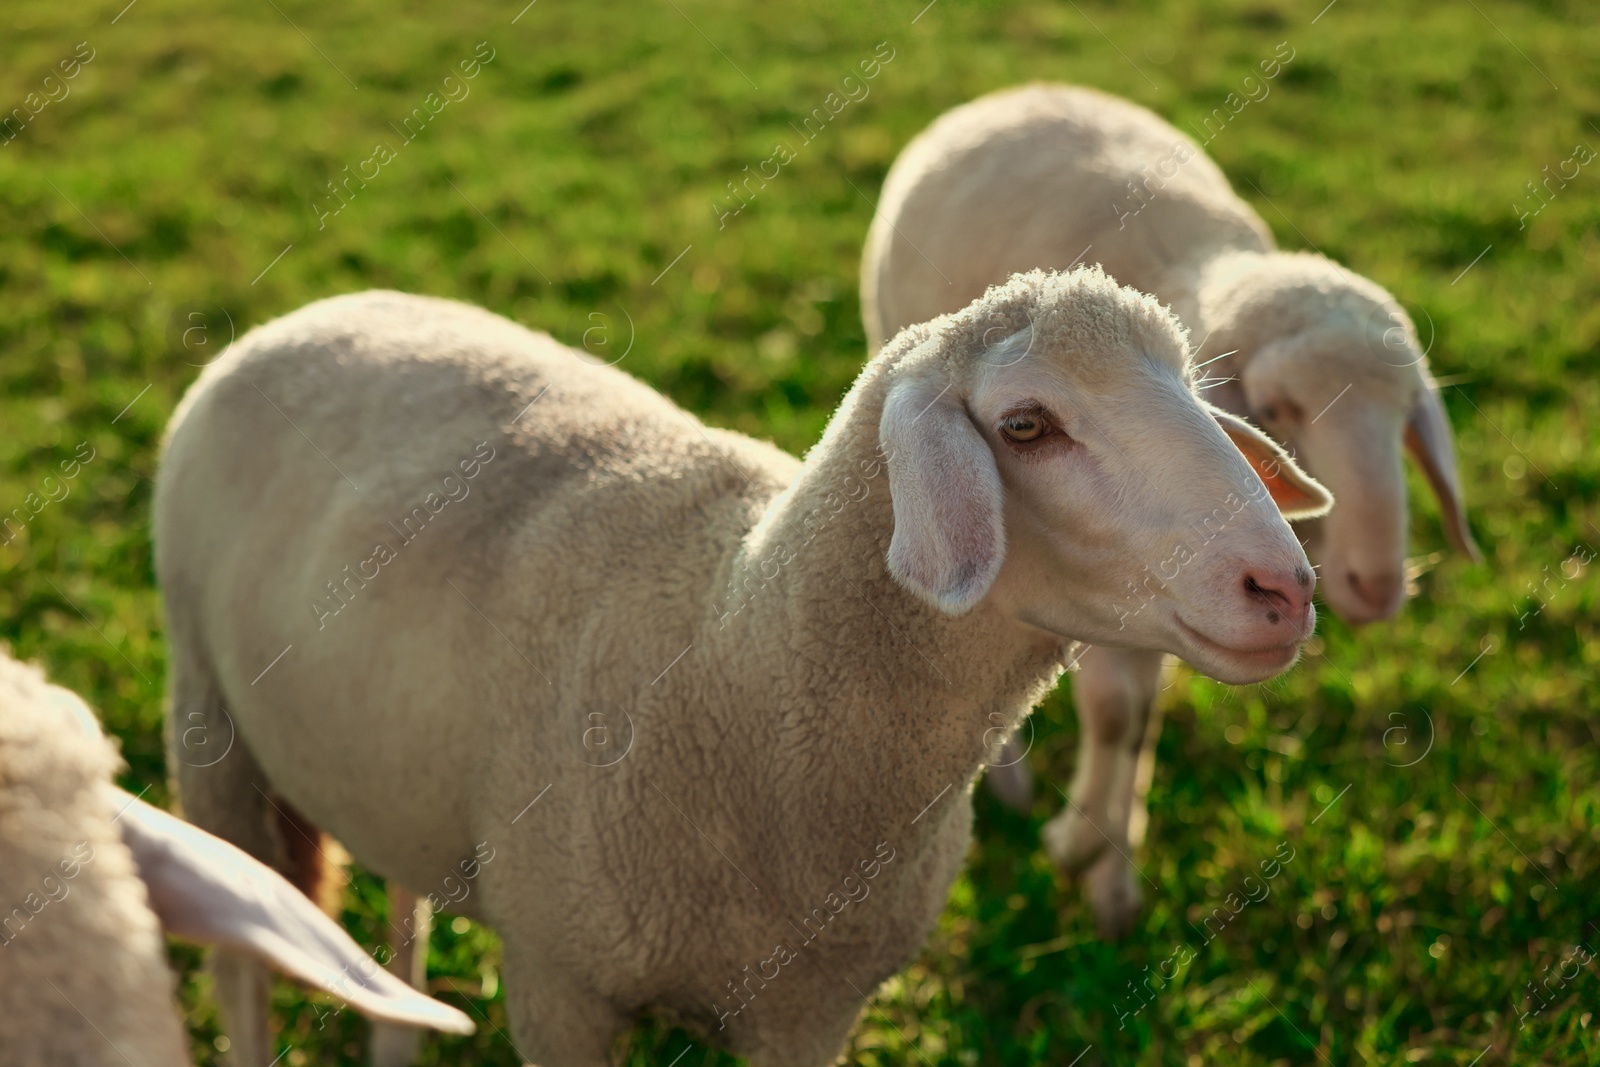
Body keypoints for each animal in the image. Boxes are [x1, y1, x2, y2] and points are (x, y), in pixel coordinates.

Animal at [150, 268, 1324, 1067]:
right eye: (1026, 424)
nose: (1285, 588)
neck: (738, 656)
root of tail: (318, 306)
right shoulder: (561, 985)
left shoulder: (812, 1010)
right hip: (207, 721)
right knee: (242, 963)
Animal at [857, 81, 1478, 934]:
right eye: (1277, 408)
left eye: (1407, 411)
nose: (1378, 586)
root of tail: (1020, 89)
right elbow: (1115, 710)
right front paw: (1080, 848)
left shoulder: (1170, 587)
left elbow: (1142, 715)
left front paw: (1113, 871)